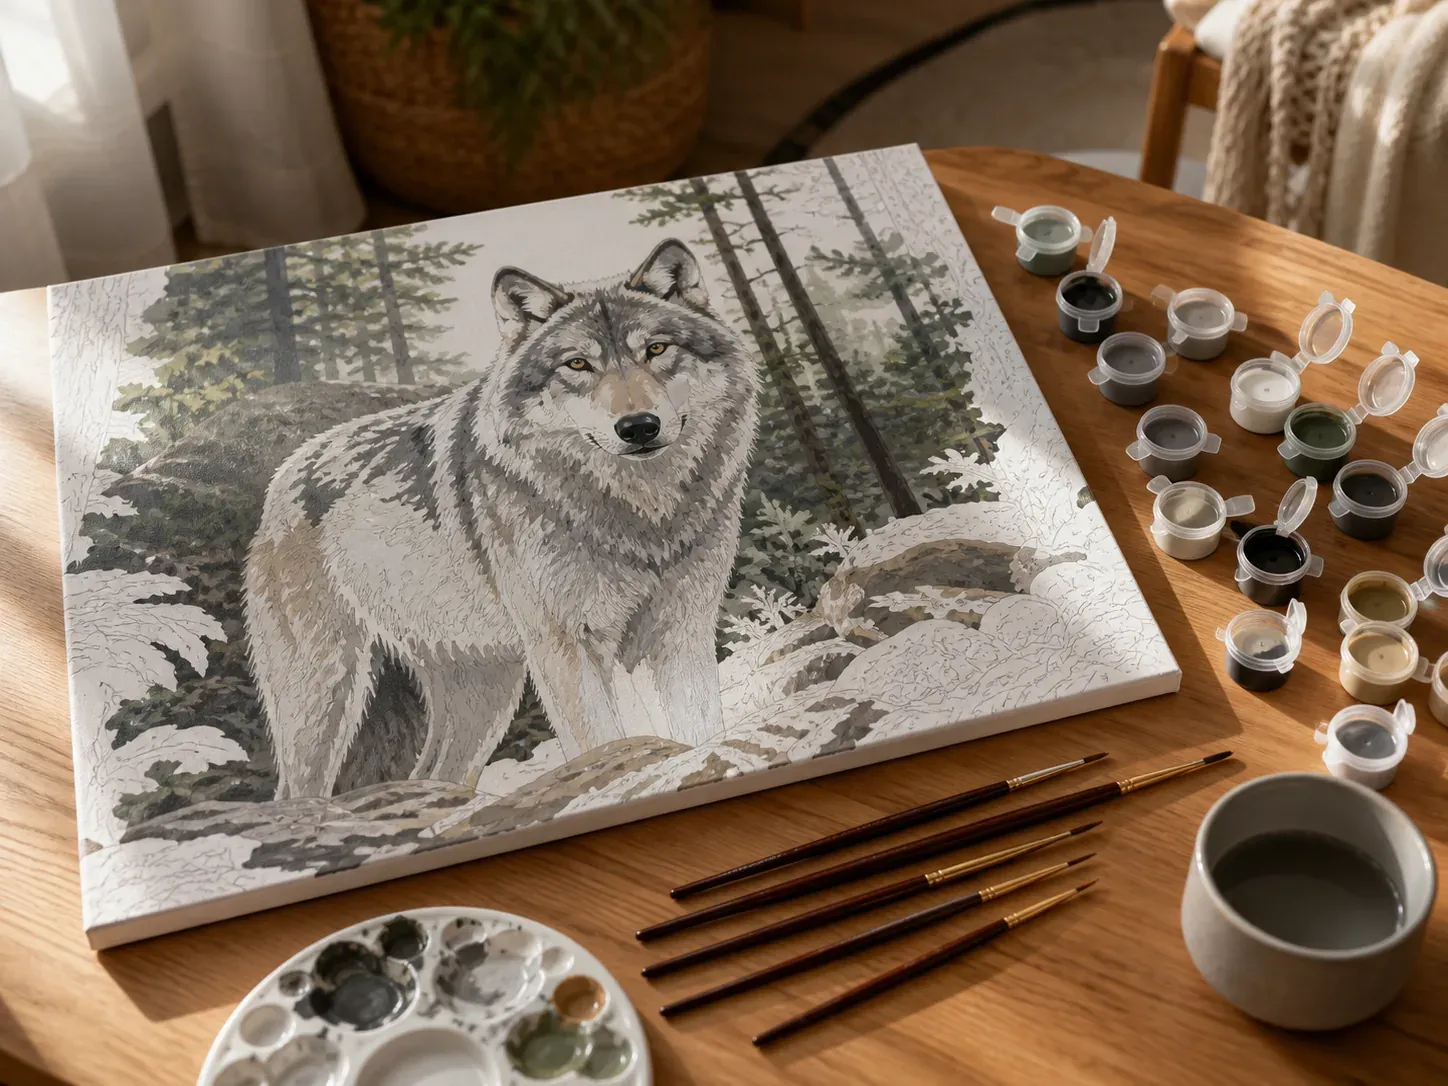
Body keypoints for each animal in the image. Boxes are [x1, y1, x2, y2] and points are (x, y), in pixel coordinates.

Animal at [244, 239, 760, 799]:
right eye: (577, 364)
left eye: (658, 350)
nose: (638, 426)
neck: (642, 517)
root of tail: (284, 473)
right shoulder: (565, 648)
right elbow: (604, 742)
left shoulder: (680, 635)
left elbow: (699, 728)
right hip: (323, 693)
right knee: (297, 793)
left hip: (487, 686)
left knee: (431, 774)